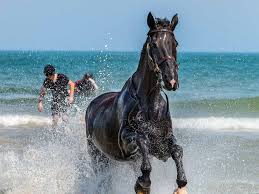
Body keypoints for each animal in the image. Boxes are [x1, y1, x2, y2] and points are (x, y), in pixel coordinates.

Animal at [86, 12, 188, 194]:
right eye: (154, 44)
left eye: (175, 43)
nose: (171, 80)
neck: (149, 104)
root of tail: (92, 105)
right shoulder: (125, 142)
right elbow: (142, 140)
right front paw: (143, 182)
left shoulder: (162, 145)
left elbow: (176, 150)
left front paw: (181, 184)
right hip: (97, 155)